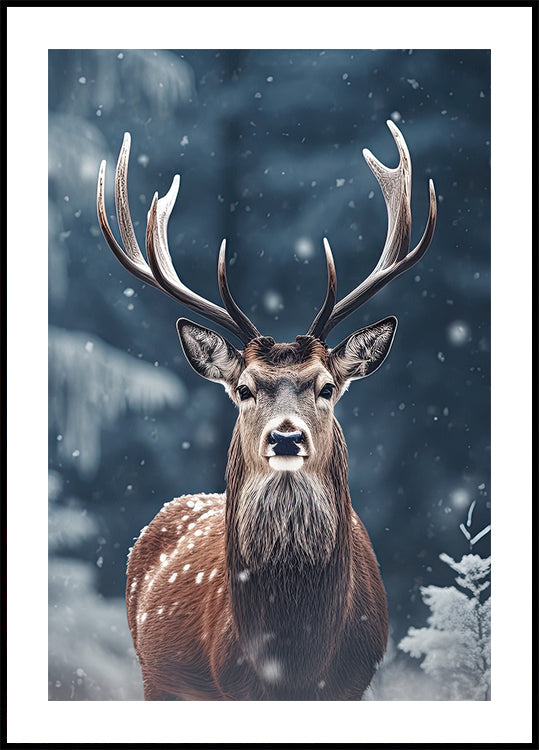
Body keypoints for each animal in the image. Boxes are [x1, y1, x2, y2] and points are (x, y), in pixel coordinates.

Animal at [96, 120, 436, 700]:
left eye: (327, 387)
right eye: (244, 388)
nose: (286, 438)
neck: (294, 656)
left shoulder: (353, 683)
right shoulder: (232, 686)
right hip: (155, 680)